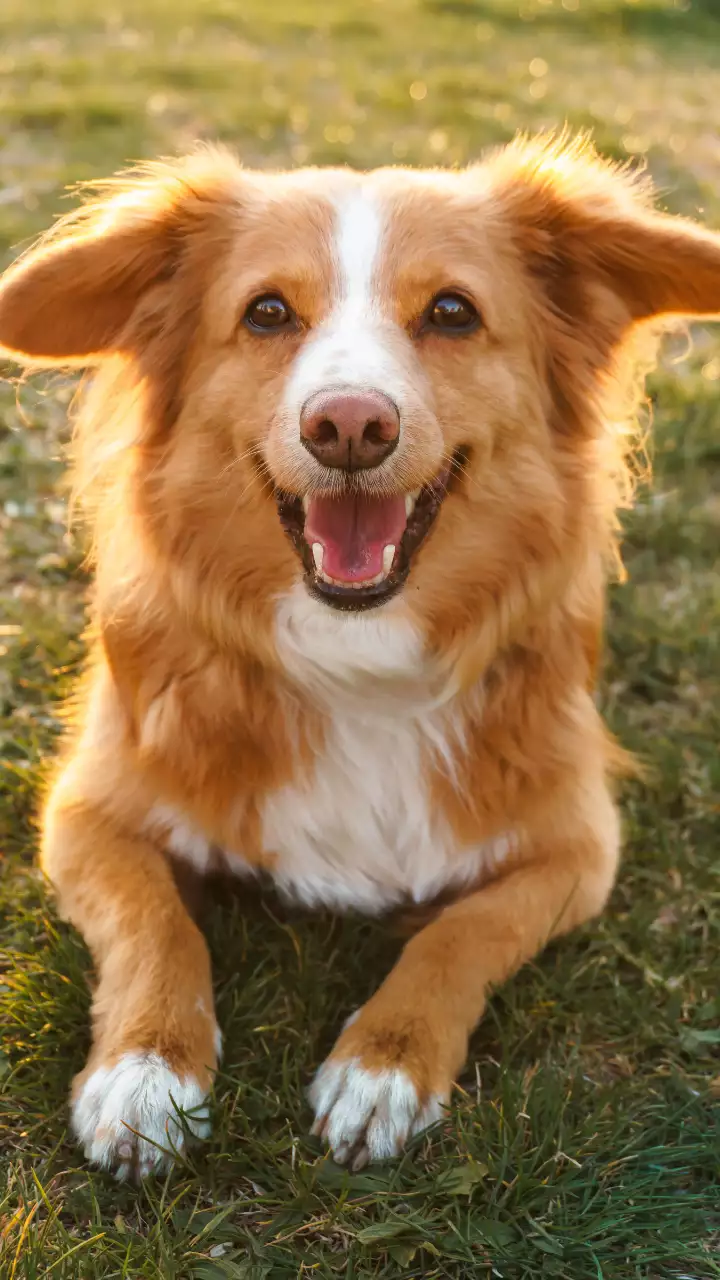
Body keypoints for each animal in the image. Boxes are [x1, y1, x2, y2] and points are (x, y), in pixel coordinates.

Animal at [1, 132, 717, 1177]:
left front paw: (385, 1064)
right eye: (266, 311)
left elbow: (465, 930)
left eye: (453, 312)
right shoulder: (87, 810)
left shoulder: (579, 845)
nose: (347, 425)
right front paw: (145, 1069)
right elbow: (153, 922)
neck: (358, 659)